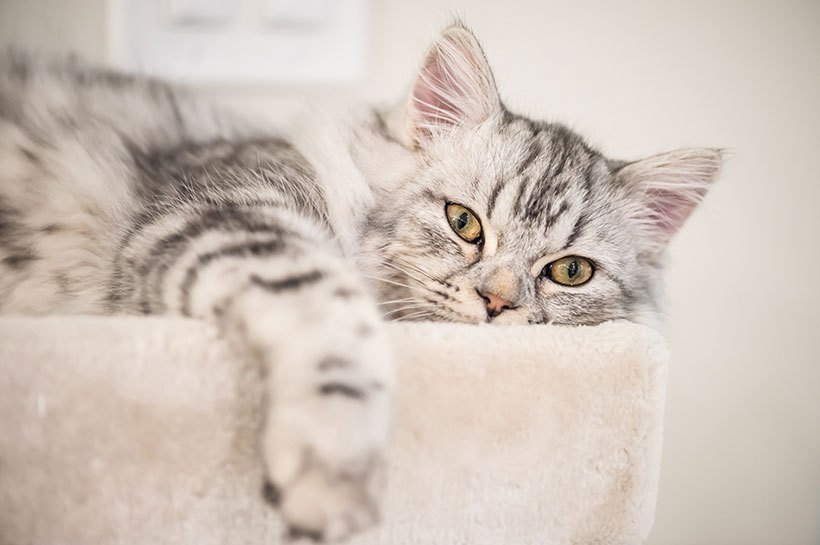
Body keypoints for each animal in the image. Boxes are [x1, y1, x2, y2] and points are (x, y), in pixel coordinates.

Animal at [0, 23, 716, 540]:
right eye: (464, 223)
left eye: (569, 272)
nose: (496, 303)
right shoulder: (219, 214)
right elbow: (329, 318)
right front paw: (334, 471)